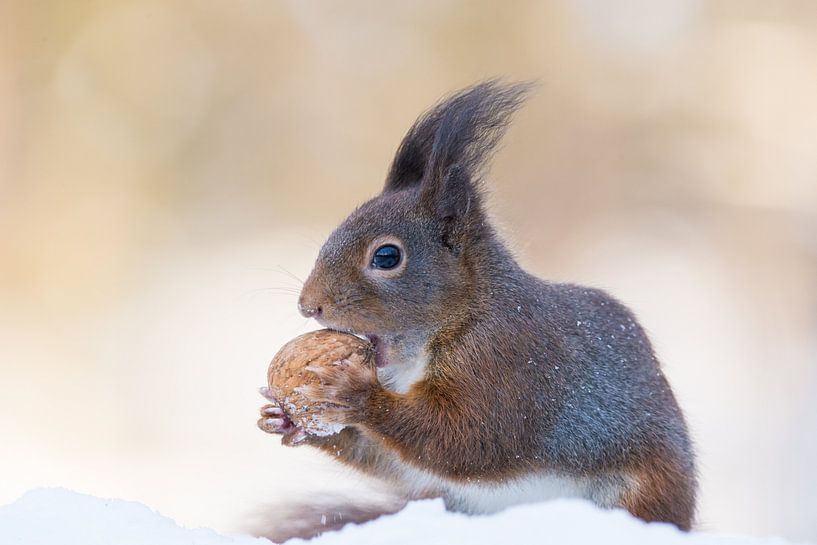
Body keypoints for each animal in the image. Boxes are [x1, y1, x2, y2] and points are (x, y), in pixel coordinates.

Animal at [258, 80, 697, 530]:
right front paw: (285, 418)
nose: (308, 305)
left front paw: (357, 394)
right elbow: (397, 460)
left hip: (640, 493)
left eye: (387, 257)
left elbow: (469, 439)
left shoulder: (508, 362)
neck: (465, 314)